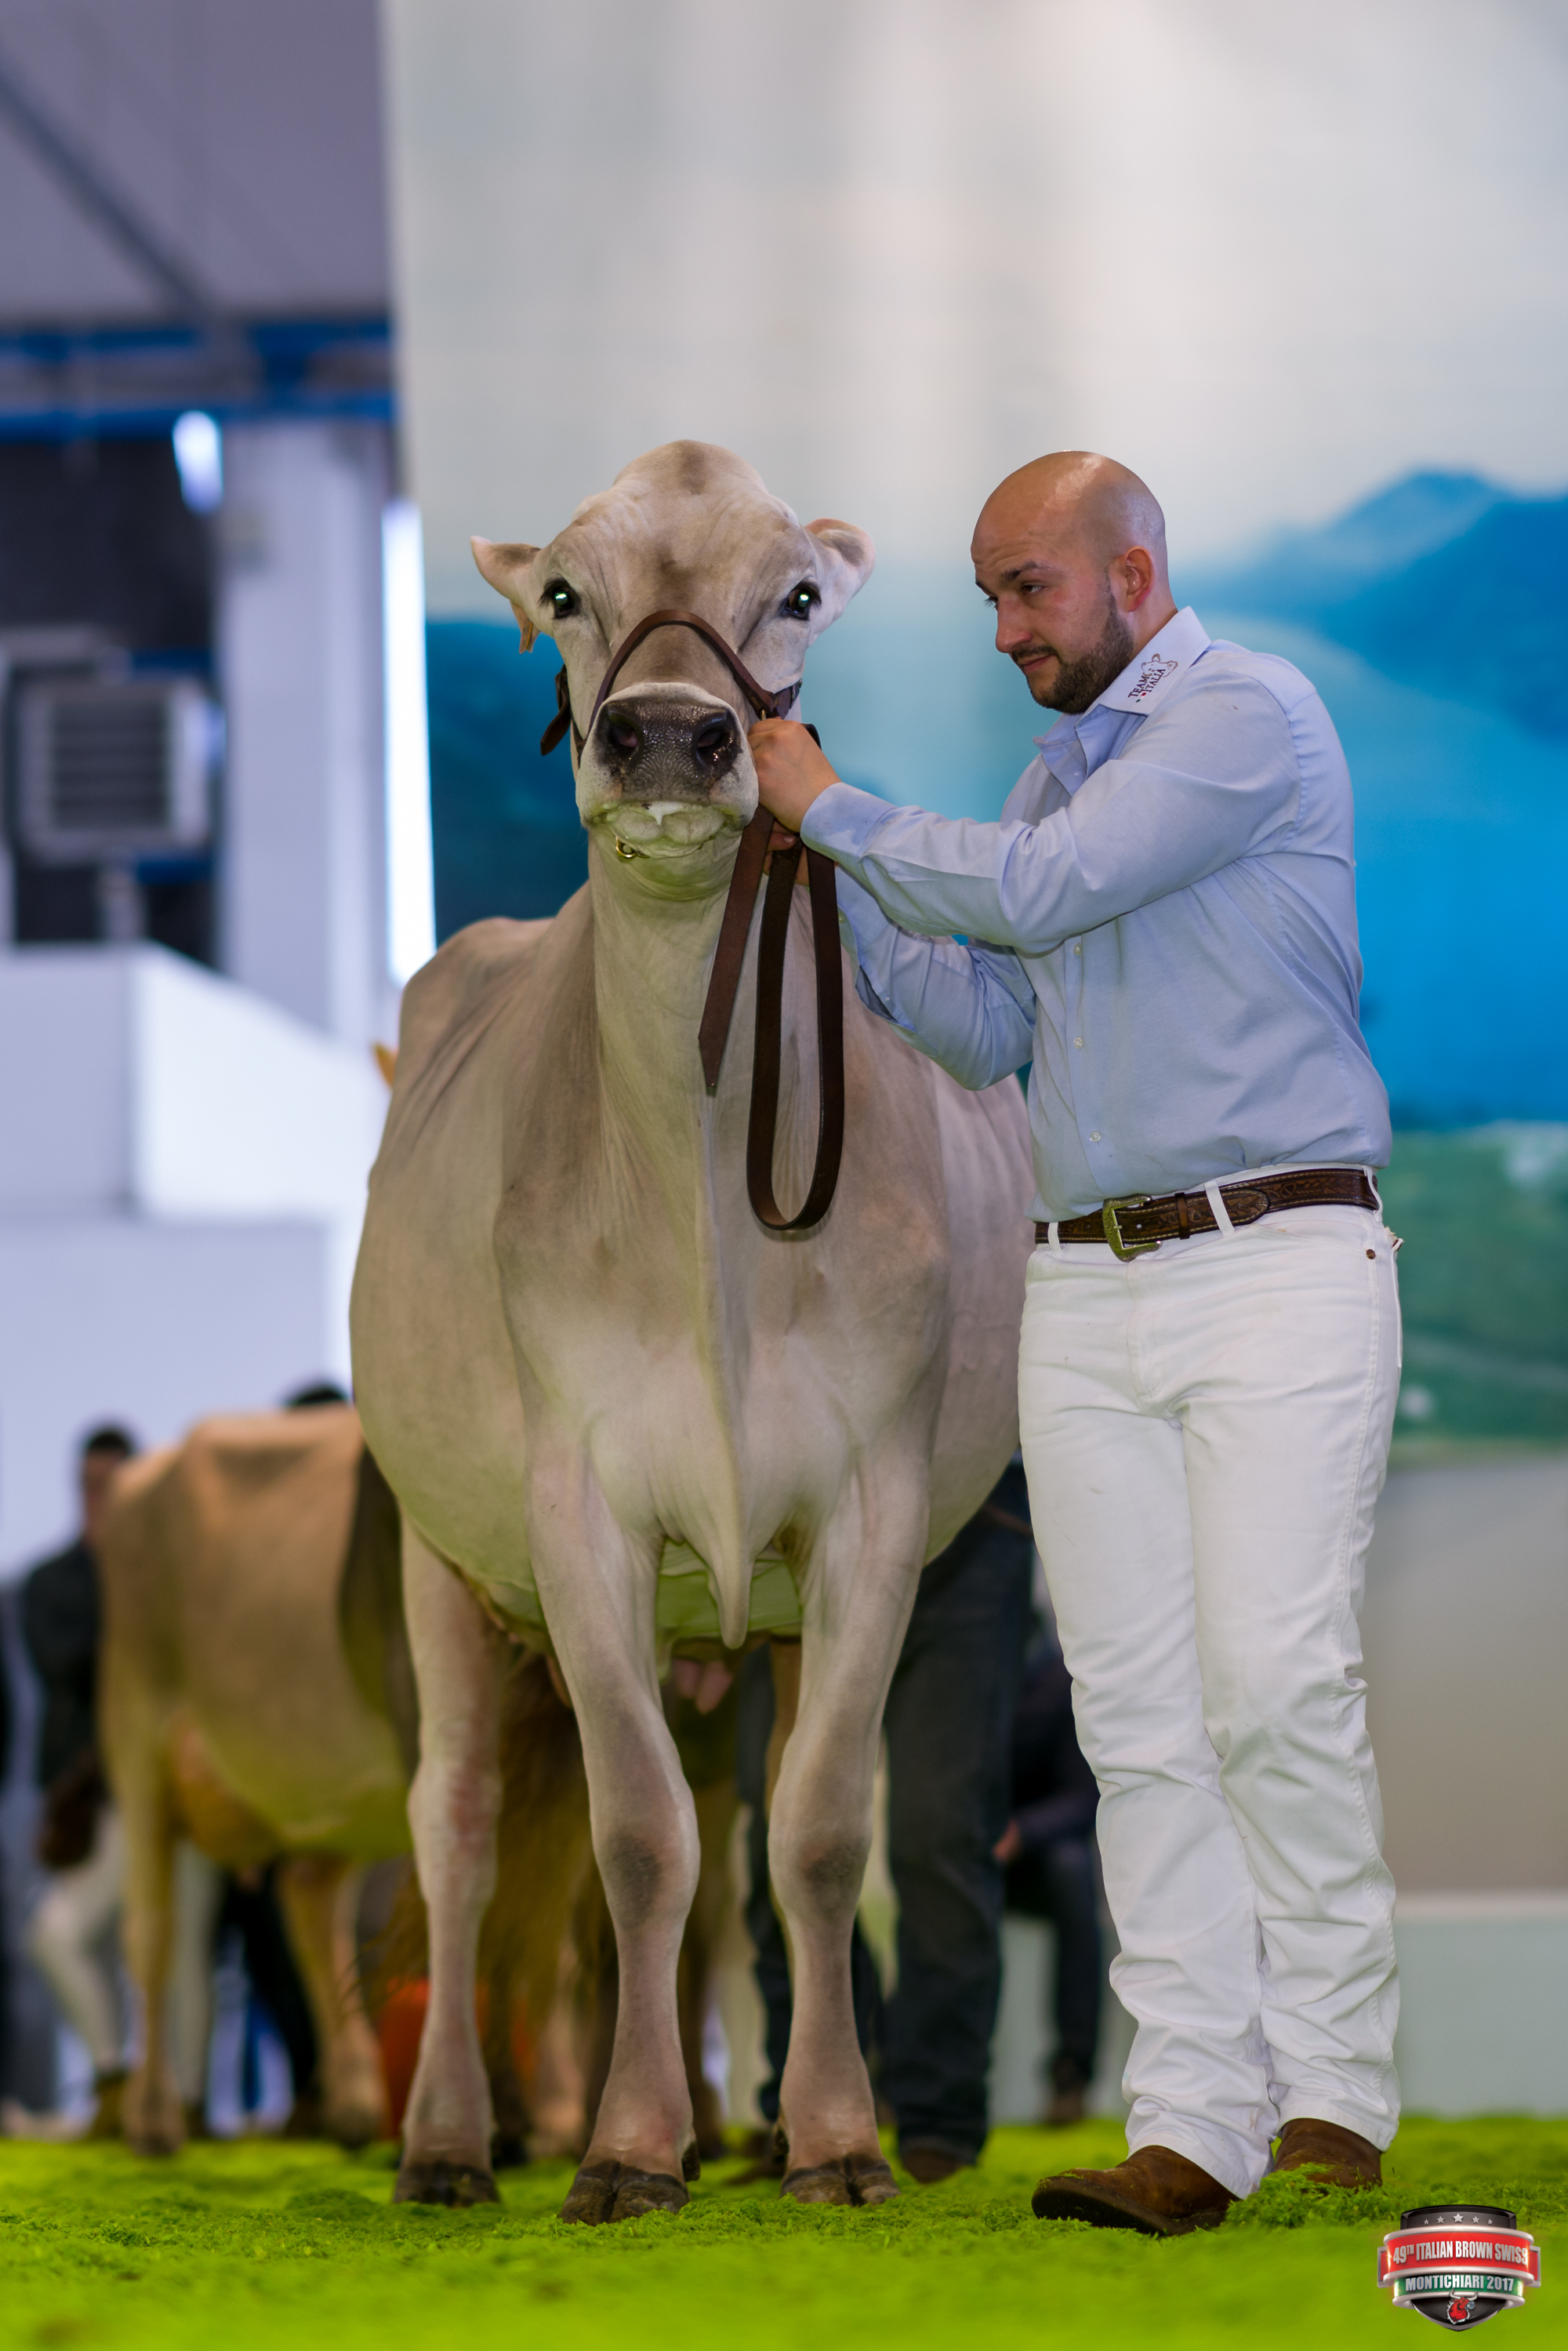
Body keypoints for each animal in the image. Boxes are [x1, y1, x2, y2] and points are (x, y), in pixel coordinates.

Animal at [350, 441, 1033, 2221]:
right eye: (564, 595)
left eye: (793, 592)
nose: (670, 733)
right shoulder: (573, 1504)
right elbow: (635, 1833)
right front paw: (627, 2148)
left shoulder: (869, 1505)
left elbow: (820, 1832)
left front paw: (842, 2138)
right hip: (434, 1550)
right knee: (458, 1823)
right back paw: (448, 2139)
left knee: (746, 1851)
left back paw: (766, 2119)